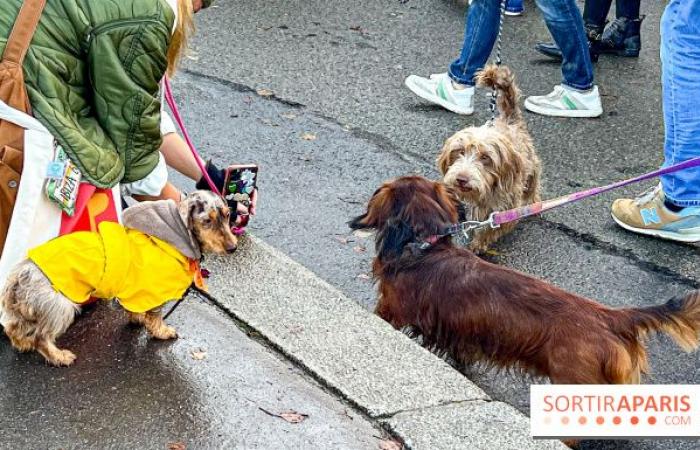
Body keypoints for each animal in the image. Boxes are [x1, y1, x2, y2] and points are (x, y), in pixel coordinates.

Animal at [0, 190, 237, 366]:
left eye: (227, 214)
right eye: (207, 221)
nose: (233, 248)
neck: (173, 238)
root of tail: (19, 276)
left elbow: (135, 310)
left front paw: (138, 319)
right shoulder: (154, 292)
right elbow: (155, 317)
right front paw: (163, 331)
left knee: (13, 328)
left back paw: (22, 344)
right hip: (60, 306)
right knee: (41, 338)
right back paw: (59, 356)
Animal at [438, 64, 540, 253]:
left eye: (485, 157)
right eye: (459, 151)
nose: (462, 179)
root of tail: (510, 120)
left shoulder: (506, 209)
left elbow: (491, 229)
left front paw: (478, 243)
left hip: (532, 167)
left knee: (533, 187)